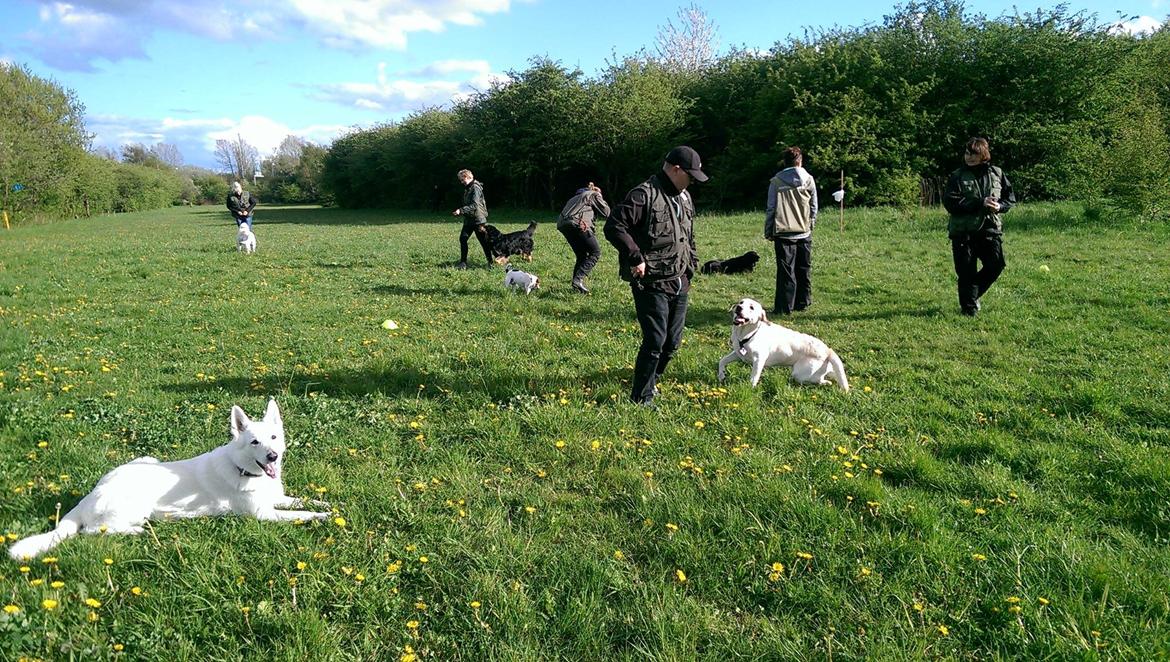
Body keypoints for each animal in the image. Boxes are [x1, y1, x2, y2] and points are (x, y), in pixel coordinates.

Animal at [9, 400, 329, 561]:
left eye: (273, 437)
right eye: (254, 442)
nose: (273, 456)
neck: (242, 469)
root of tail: (88, 496)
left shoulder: (276, 499)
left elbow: (302, 500)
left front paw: (326, 504)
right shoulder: (264, 515)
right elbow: (301, 514)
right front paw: (321, 516)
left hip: (146, 459)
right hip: (136, 504)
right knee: (93, 531)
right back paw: (137, 531)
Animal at [711, 298, 851, 392]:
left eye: (751, 307)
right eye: (741, 302)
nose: (738, 308)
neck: (745, 334)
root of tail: (827, 349)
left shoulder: (759, 360)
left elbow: (754, 377)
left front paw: (750, 388)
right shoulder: (738, 353)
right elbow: (722, 361)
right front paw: (721, 375)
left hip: (800, 373)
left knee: (818, 380)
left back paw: (826, 383)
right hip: (825, 369)